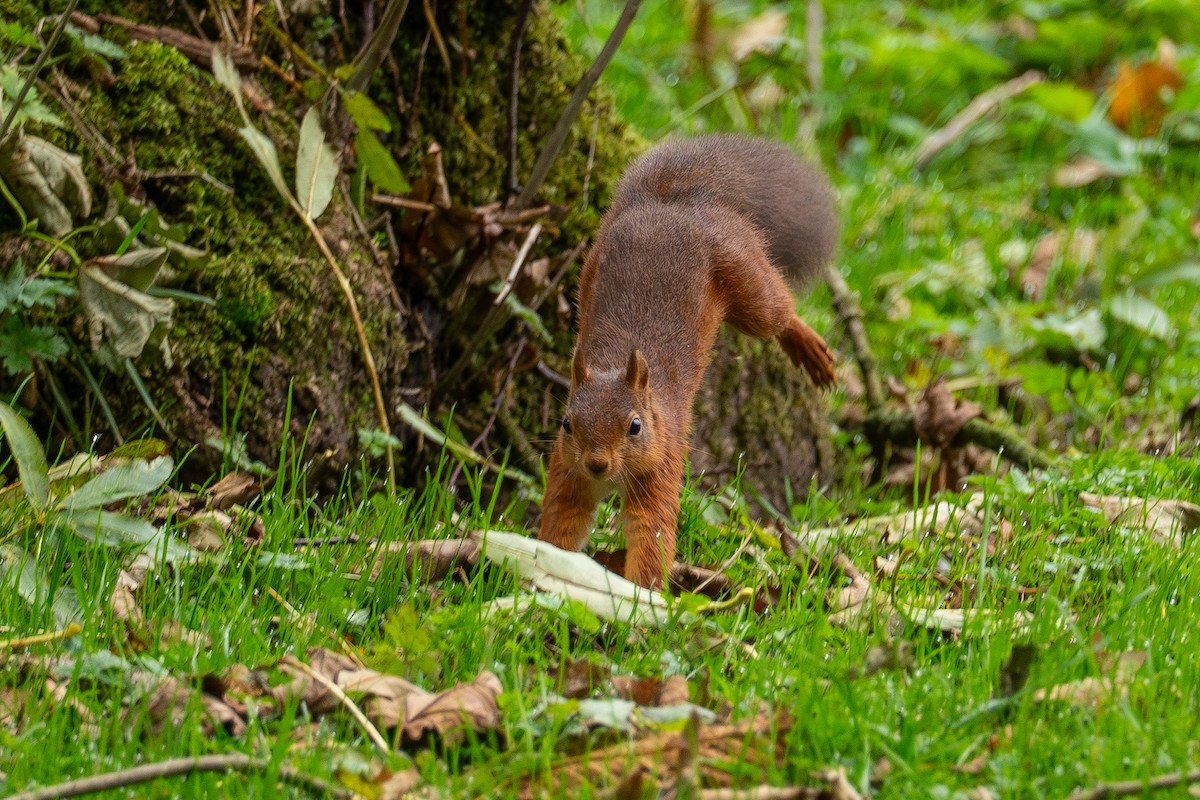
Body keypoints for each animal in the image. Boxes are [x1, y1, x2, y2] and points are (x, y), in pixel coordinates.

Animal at [537, 134, 839, 589]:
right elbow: (563, 521)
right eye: (566, 424)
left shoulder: (664, 461)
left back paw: (809, 347)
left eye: (635, 426)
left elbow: (652, 529)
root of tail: (670, 201)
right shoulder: (567, 471)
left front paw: (641, 595)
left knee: (777, 309)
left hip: (742, 273)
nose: (596, 463)